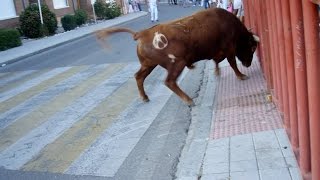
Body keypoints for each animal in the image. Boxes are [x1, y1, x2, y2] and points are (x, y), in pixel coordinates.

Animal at [96, 7, 258, 105]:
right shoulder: (229, 49)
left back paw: (145, 97)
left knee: (139, 76)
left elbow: (218, 61)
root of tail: (142, 33)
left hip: (149, 64)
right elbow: (232, 63)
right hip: (177, 63)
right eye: (252, 48)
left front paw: (217, 72)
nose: (248, 64)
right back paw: (189, 100)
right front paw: (242, 75)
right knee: (169, 82)